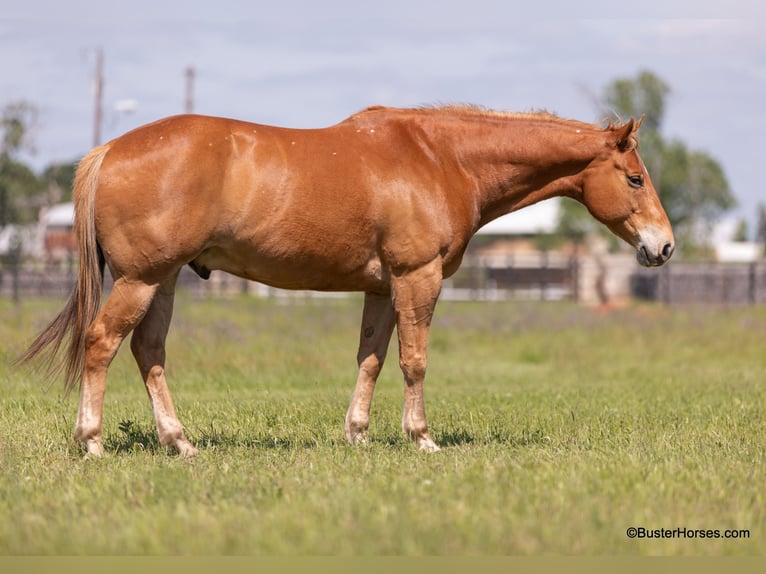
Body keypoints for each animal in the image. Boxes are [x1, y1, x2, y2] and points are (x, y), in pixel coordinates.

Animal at [18, 106, 676, 460]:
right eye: (635, 178)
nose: (664, 246)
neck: (440, 157)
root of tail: (109, 150)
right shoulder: (416, 279)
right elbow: (413, 361)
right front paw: (421, 438)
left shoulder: (383, 288)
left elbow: (372, 359)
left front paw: (357, 436)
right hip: (142, 278)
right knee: (102, 343)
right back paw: (93, 441)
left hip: (164, 280)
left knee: (148, 351)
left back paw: (179, 443)